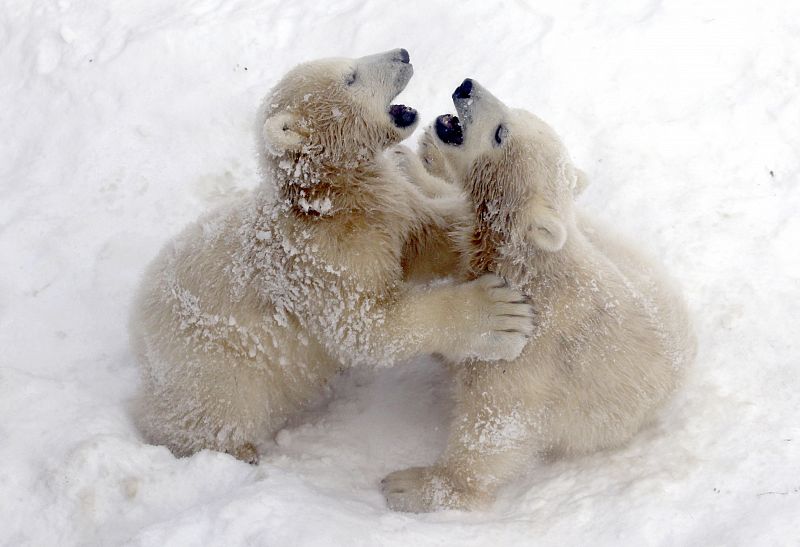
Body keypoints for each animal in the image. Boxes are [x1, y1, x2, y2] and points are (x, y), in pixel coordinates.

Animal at [129, 53, 535, 464]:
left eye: (350, 61)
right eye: (351, 77)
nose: (403, 53)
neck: (325, 202)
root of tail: (138, 332)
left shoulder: (388, 211)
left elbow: (430, 236)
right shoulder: (319, 261)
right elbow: (367, 327)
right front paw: (499, 315)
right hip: (210, 364)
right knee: (219, 410)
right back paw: (233, 451)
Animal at [381, 78, 697, 512]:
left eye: (501, 132)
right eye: (514, 110)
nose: (466, 86)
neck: (526, 263)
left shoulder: (531, 346)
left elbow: (497, 428)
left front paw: (411, 486)